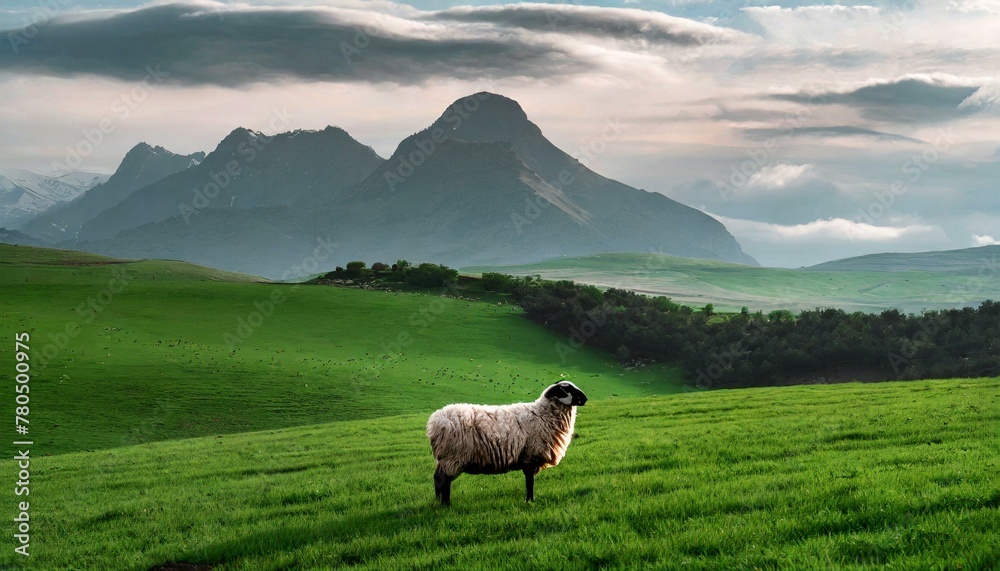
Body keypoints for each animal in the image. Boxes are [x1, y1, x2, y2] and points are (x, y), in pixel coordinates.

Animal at [426, 380, 588, 505]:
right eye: (567, 388)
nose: (585, 398)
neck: (543, 415)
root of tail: (435, 422)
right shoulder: (530, 456)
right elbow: (530, 482)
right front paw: (530, 501)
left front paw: (530, 500)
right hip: (452, 457)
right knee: (444, 480)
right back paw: (446, 503)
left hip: (445, 458)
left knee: (437, 478)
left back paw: (438, 500)